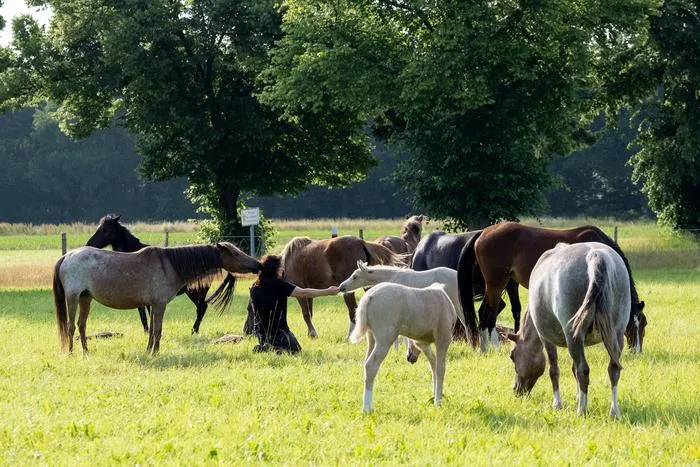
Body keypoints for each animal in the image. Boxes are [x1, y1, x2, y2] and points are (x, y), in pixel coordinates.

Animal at [53, 242, 261, 355]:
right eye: (234, 253)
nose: (258, 264)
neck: (170, 266)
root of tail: (66, 256)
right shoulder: (159, 305)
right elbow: (158, 330)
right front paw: (155, 352)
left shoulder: (152, 305)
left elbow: (152, 330)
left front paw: (149, 350)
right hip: (73, 298)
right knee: (71, 327)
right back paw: (71, 353)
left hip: (85, 299)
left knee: (82, 326)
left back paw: (86, 352)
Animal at [349, 282, 457, 413]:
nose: (410, 357)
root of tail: (368, 297)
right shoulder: (443, 338)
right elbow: (441, 368)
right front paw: (438, 402)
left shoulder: (422, 342)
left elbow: (433, 365)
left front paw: (433, 396)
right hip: (385, 338)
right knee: (371, 365)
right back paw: (367, 408)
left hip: (371, 338)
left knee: (365, 362)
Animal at [457, 222, 646, 352]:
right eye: (635, 325)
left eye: (644, 324)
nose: (636, 351)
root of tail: (483, 232)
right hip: (496, 284)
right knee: (487, 313)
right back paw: (491, 348)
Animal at [505, 242, 631, 418]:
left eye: (512, 356)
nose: (516, 390)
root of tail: (594, 256)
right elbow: (573, 369)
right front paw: (578, 398)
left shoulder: (546, 339)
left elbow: (554, 370)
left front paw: (558, 404)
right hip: (616, 336)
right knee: (613, 369)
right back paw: (614, 411)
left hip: (572, 336)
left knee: (583, 370)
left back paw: (582, 410)